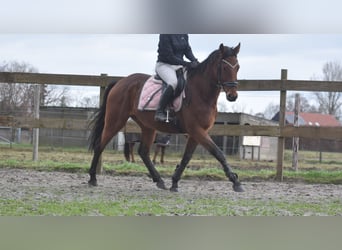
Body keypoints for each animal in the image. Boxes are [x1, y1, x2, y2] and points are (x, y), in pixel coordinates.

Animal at [88, 42, 243, 191]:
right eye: (224, 67)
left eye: (237, 67)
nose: (233, 96)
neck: (201, 93)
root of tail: (120, 82)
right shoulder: (197, 130)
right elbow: (218, 153)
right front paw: (235, 182)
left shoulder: (196, 133)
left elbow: (187, 157)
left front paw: (174, 182)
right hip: (115, 121)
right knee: (99, 145)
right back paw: (92, 178)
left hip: (148, 126)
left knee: (143, 152)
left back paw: (159, 180)